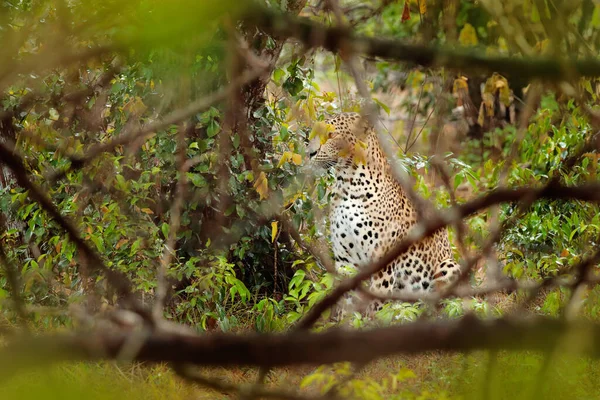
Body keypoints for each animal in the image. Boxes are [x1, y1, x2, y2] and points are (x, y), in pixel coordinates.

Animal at [308, 111, 462, 320]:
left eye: (331, 135)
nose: (309, 153)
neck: (347, 183)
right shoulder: (345, 261)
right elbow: (346, 304)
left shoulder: (382, 261)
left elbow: (376, 305)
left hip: (449, 266)